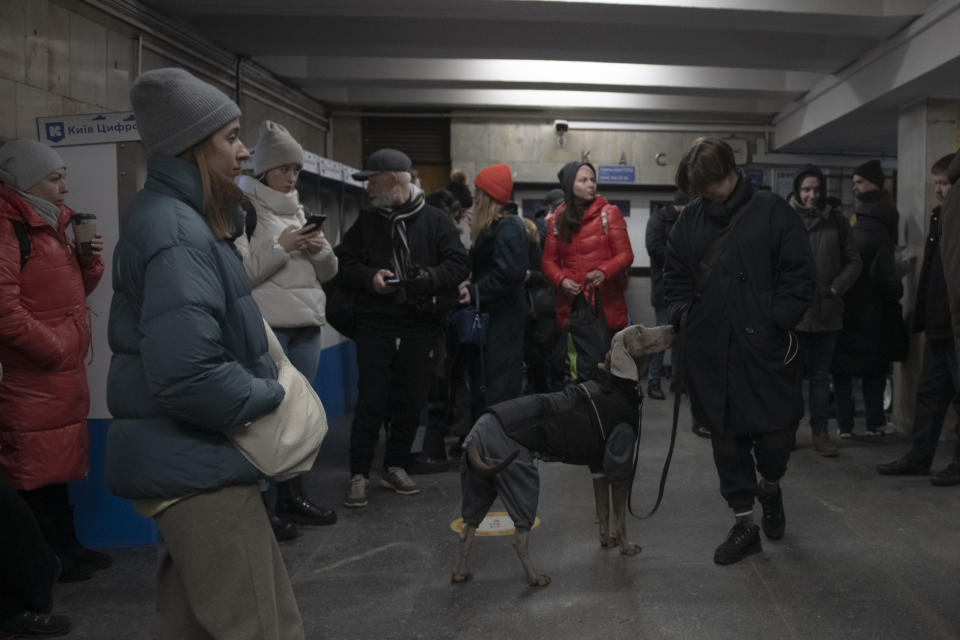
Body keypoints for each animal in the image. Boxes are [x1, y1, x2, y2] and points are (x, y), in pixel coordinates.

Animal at [452, 324, 672, 584]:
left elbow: (603, 510)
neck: (616, 386)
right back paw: (535, 577)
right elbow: (620, 517)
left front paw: (606, 541)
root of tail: (474, 434)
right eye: (639, 331)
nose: (672, 327)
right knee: (518, 538)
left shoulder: (598, 468)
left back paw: (460, 573)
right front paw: (626, 547)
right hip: (521, 478)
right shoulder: (619, 463)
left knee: (467, 529)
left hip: (480, 484)